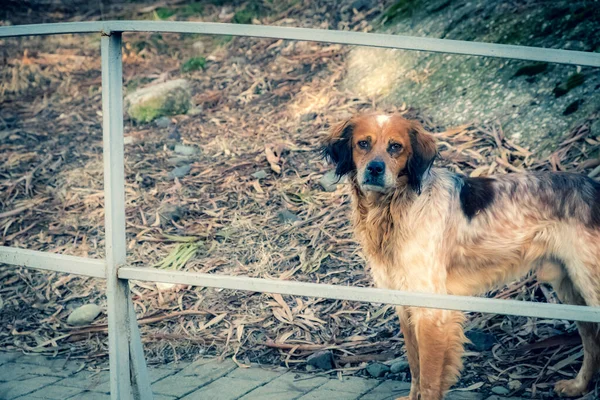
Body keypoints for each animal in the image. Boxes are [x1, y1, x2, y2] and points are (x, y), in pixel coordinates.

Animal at [324, 112, 600, 400]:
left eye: (395, 146)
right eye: (363, 144)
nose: (375, 169)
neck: (393, 211)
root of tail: (594, 187)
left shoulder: (431, 311)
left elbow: (429, 379)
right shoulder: (405, 302)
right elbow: (415, 366)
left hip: (590, 286)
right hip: (570, 287)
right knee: (591, 339)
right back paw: (579, 385)